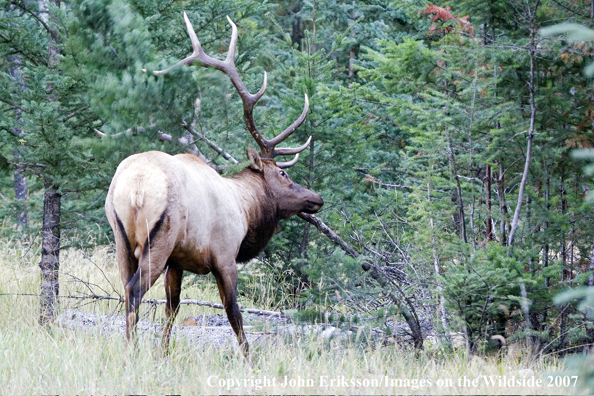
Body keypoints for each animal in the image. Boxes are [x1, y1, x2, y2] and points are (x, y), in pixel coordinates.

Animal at [104, 13, 322, 358]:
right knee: (134, 290)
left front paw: (164, 354)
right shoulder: (225, 255)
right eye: (283, 175)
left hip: (121, 239)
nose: (316, 198)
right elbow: (234, 313)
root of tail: (135, 186)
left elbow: (172, 308)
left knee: (126, 290)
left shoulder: (177, 261)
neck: (246, 210)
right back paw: (131, 352)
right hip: (158, 238)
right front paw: (249, 358)